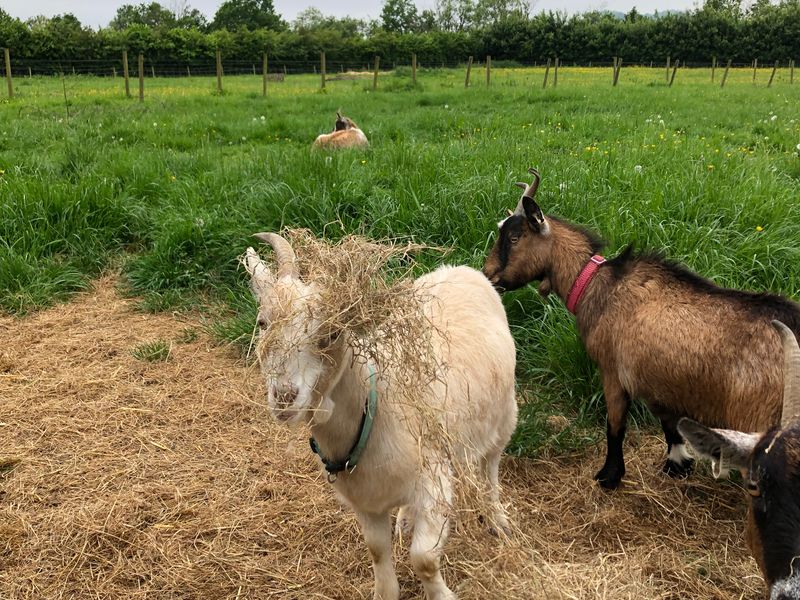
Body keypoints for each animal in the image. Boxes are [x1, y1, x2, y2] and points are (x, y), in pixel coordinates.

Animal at [243, 233, 517, 600]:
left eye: (331, 334)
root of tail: (462, 269)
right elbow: (376, 550)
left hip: (505, 416)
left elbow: (424, 558)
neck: (372, 409)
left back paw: (497, 517)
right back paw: (405, 519)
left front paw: (442, 594)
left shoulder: (435, 485)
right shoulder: (366, 503)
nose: (285, 397)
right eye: (263, 323)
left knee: (490, 467)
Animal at [482, 168, 800, 490]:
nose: (487, 275)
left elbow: (615, 425)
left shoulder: (613, 371)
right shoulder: (657, 377)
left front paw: (609, 476)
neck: (596, 284)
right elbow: (670, 422)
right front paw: (677, 464)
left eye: (514, 237)